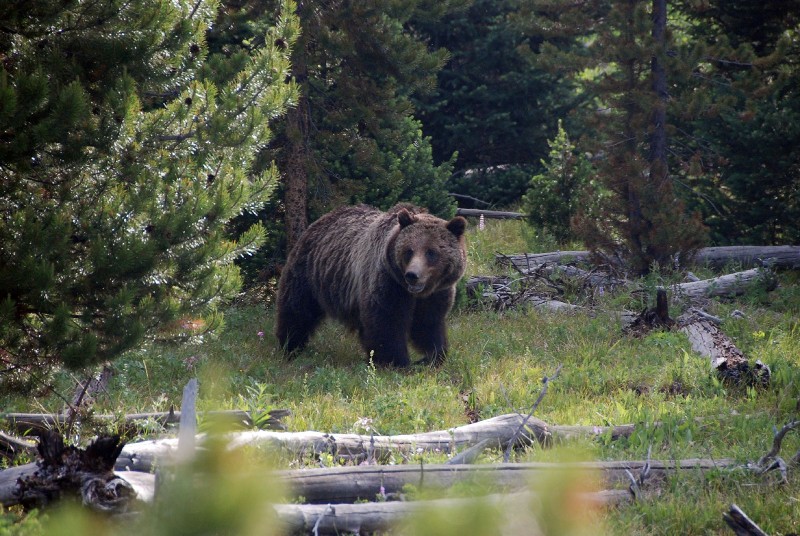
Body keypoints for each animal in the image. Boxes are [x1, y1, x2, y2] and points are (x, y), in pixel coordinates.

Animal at [276, 203, 466, 366]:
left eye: (431, 252)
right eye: (409, 251)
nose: (412, 275)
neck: (415, 293)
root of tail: (321, 219)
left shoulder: (436, 294)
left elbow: (428, 324)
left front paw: (432, 356)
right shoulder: (389, 284)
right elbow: (387, 322)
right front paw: (397, 361)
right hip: (309, 274)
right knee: (297, 310)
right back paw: (290, 347)